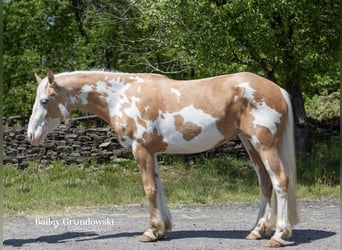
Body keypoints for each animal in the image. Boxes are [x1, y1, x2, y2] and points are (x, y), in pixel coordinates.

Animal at [28, 69, 298, 247]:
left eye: (44, 100)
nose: (31, 135)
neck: (121, 95)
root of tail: (278, 89)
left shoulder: (141, 150)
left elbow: (149, 189)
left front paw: (150, 232)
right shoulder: (152, 152)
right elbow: (159, 188)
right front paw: (162, 229)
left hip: (264, 145)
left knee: (280, 181)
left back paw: (279, 235)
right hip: (251, 144)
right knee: (265, 183)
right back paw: (257, 231)